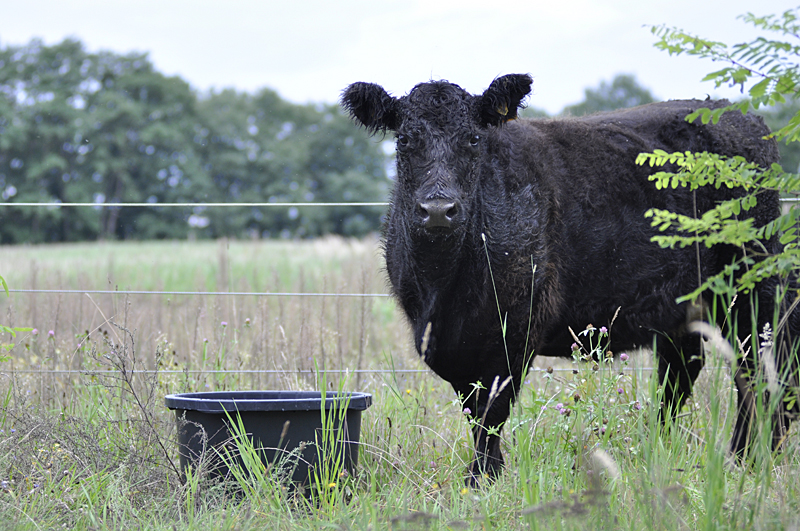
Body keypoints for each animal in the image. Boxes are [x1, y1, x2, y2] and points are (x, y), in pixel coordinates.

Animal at [341, 74, 798, 483]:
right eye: (404, 141)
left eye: (472, 140)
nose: (438, 209)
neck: (443, 289)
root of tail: (737, 114)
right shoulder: (445, 341)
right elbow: (473, 409)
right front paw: (481, 475)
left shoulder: (514, 331)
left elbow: (492, 411)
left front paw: (484, 478)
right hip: (683, 304)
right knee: (682, 373)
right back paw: (666, 447)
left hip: (753, 287)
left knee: (760, 372)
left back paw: (748, 458)